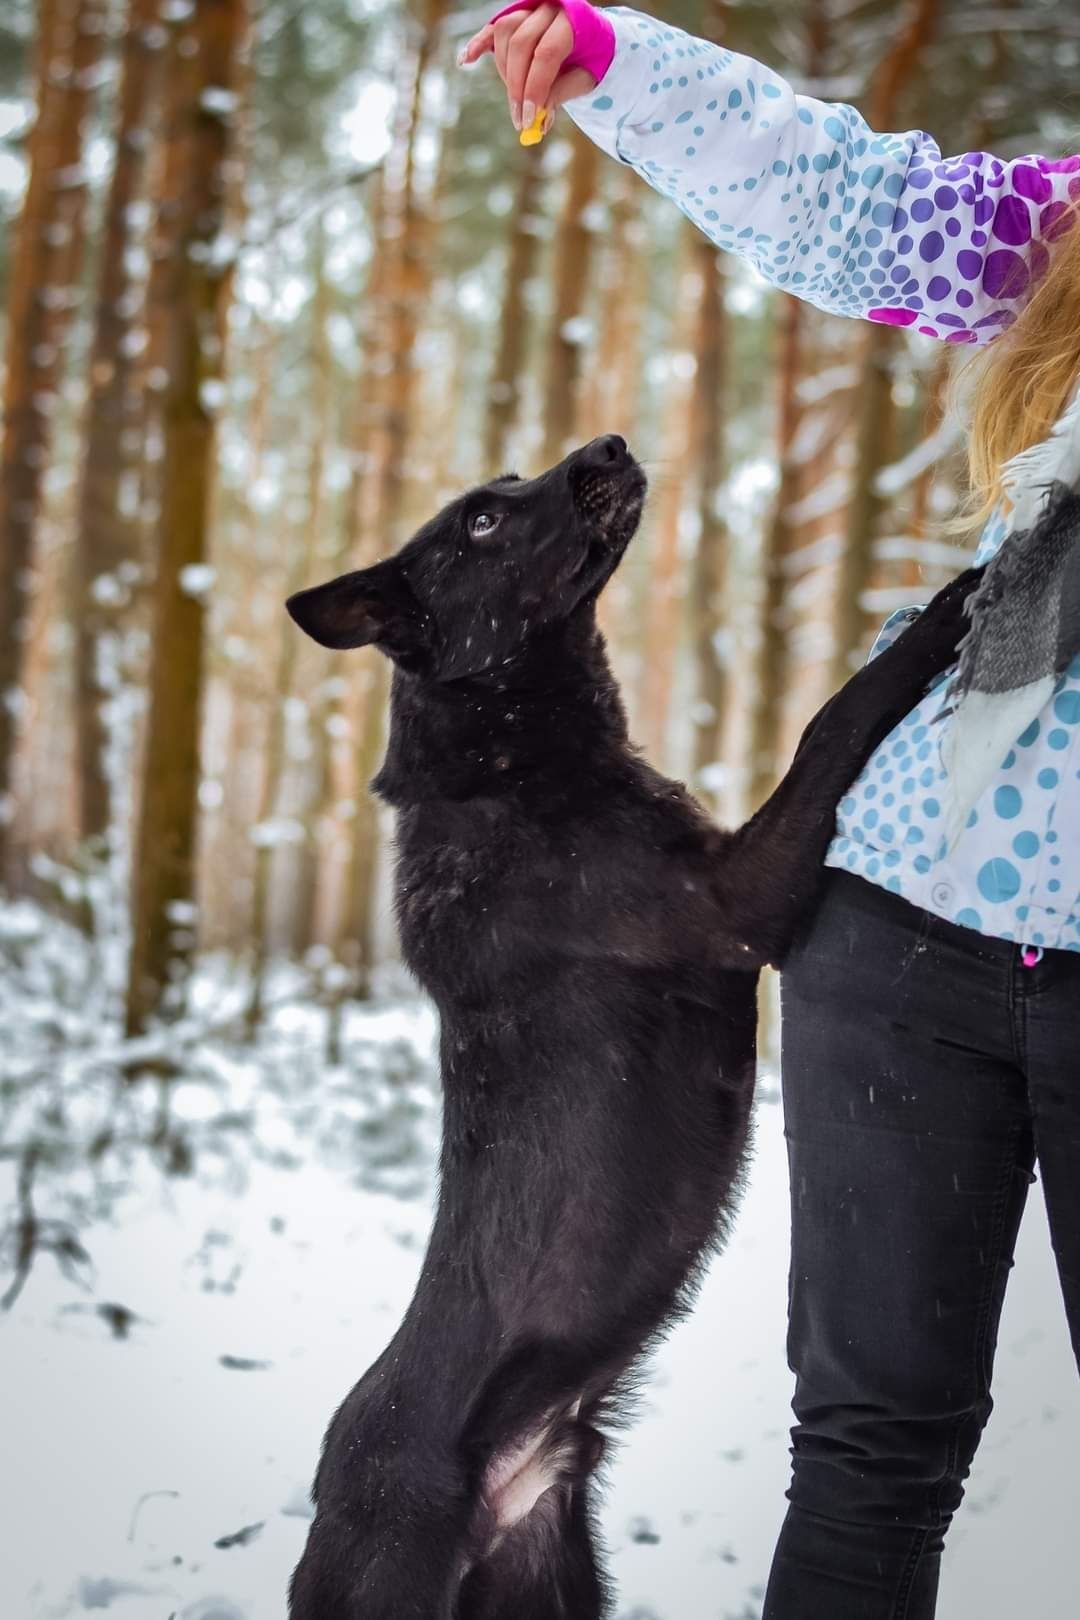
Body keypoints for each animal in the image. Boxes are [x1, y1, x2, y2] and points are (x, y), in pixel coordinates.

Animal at [283, 434, 977, 1620]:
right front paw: (939, 613)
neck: (508, 766)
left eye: (509, 481)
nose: (605, 444)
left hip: (551, 1576)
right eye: (479, 522)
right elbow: (835, 716)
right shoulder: (741, 901)